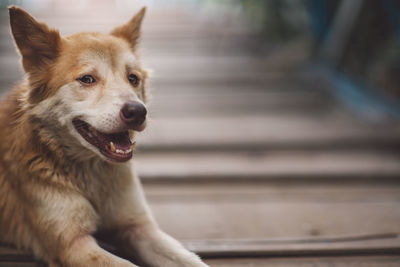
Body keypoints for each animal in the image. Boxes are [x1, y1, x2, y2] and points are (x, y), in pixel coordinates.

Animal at [0, 5, 209, 267]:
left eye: (133, 78)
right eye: (87, 79)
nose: (137, 111)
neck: (91, 176)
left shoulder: (139, 228)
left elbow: (189, 260)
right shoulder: (72, 244)